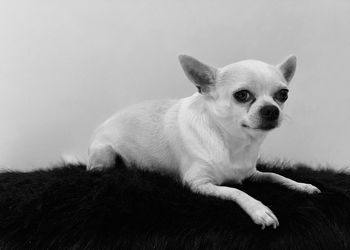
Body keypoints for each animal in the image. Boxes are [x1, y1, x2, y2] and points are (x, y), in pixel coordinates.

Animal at [87, 54, 320, 229]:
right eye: (242, 95)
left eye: (283, 94)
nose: (272, 110)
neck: (234, 142)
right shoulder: (198, 183)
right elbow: (236, 191)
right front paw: (259, 210)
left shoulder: (251, 173)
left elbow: (275, 175)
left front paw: (303, 185)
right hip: (104, 153)